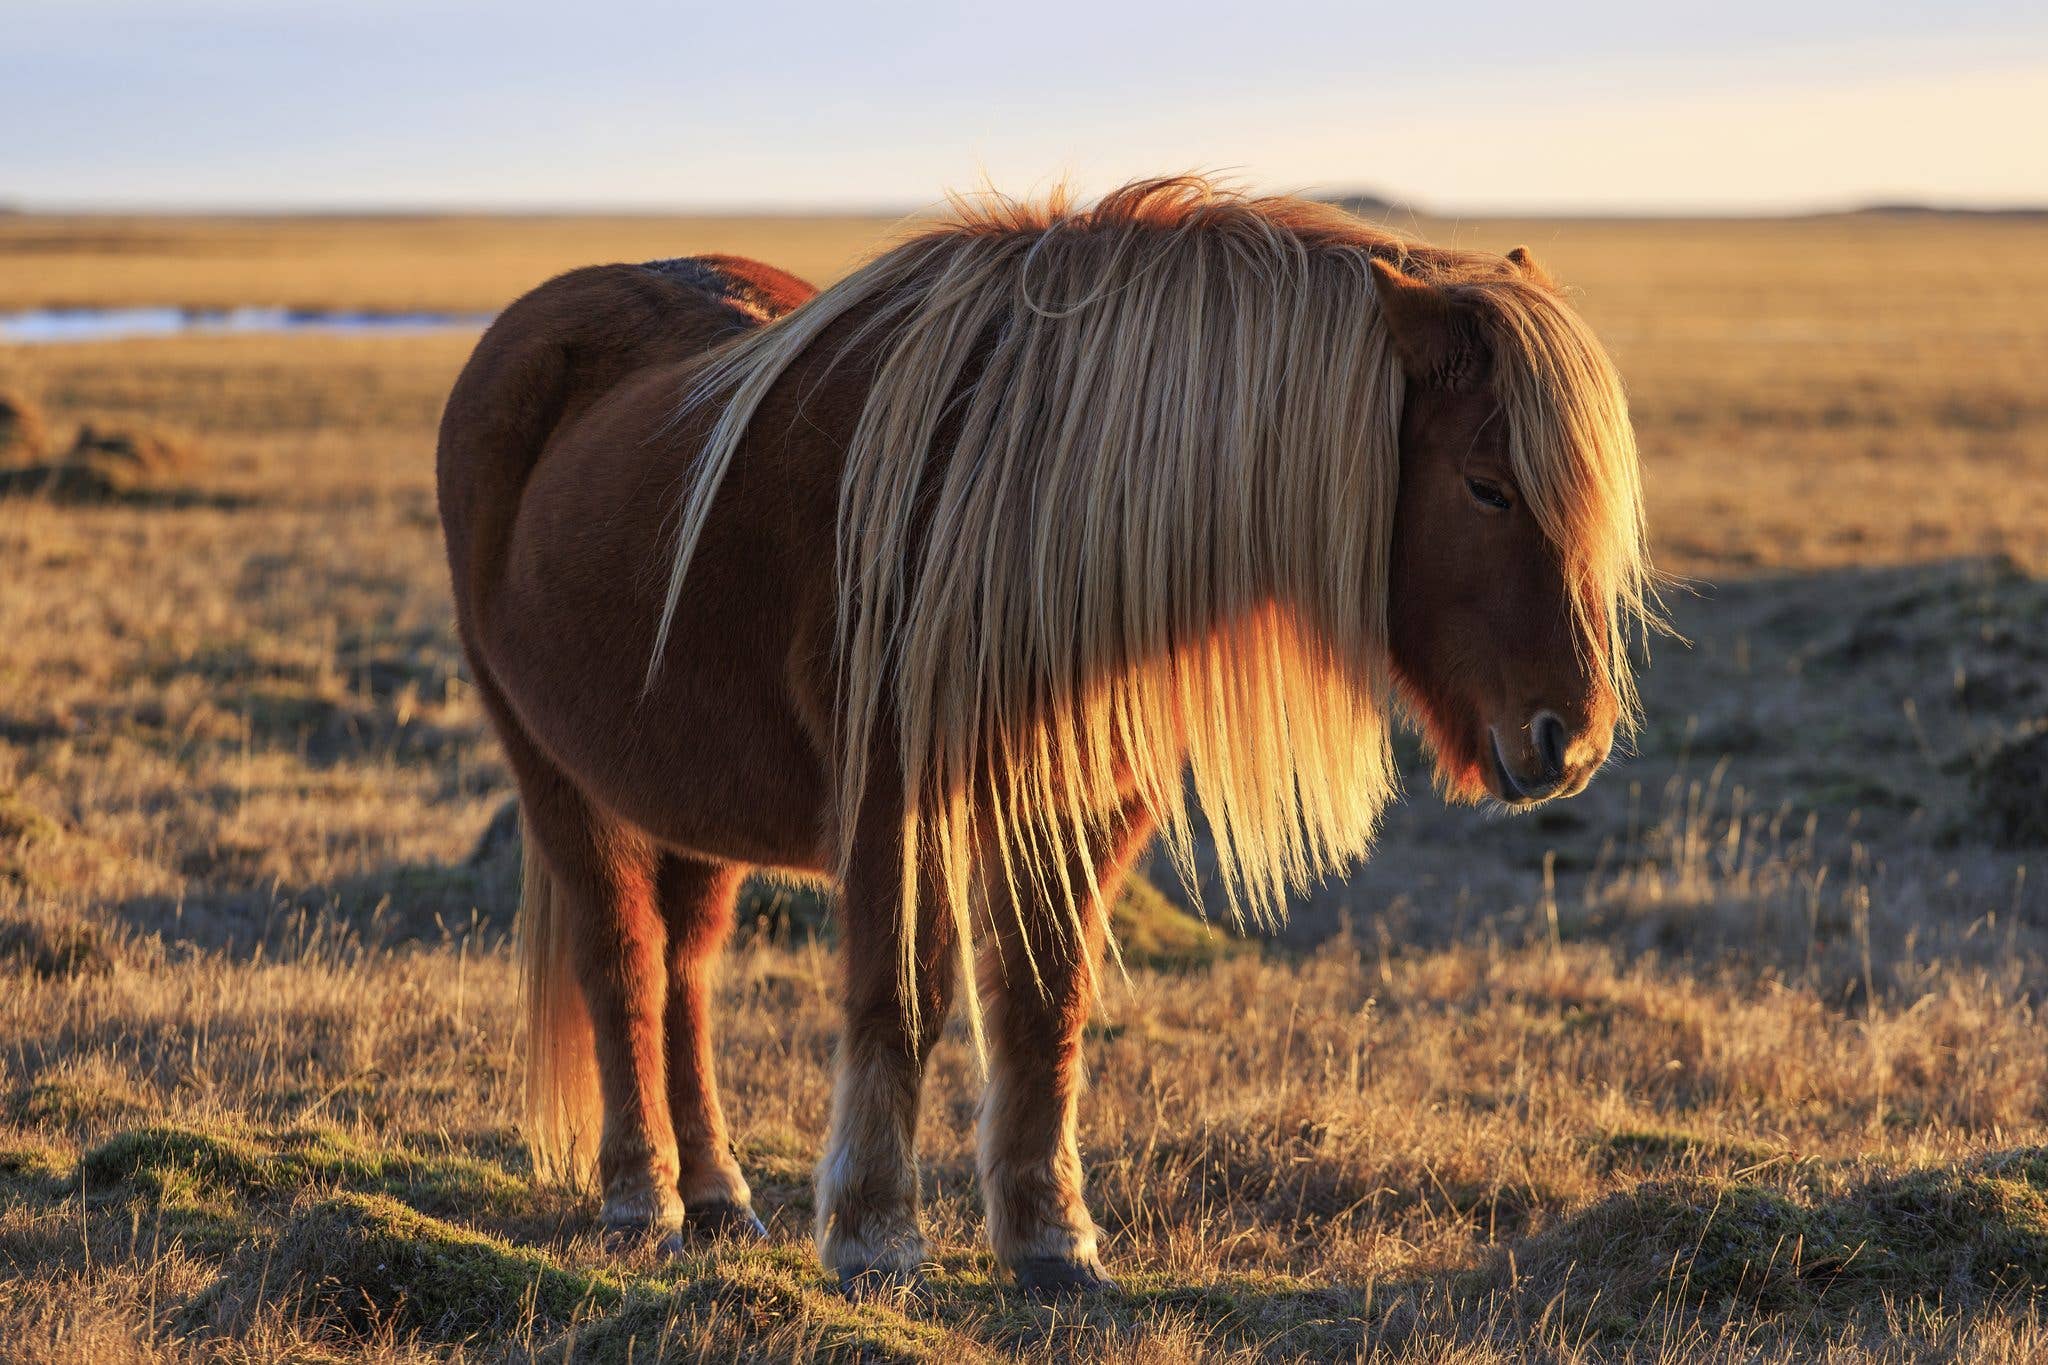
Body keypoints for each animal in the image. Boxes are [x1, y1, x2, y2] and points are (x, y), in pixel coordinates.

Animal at [435, 177, 1653, 1295]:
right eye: (1487, 487)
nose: (1573, 739)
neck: (1025, 511)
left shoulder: (1080, 805)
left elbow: (1046, 1005)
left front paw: (1049, 1237)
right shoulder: (894, 801)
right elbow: (905, 1000)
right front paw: (875, 1234)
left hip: (690, 793)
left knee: (685, 971)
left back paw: (719, 1196)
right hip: (556, 773)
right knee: (623, 966)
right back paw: (639, 1199)